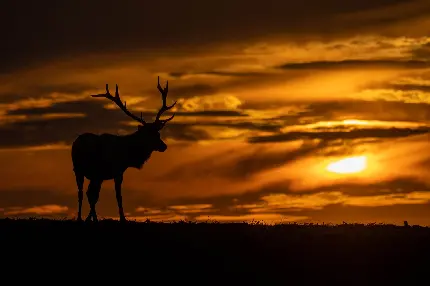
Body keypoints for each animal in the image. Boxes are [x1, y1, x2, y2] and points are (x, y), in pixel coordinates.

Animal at [71, 77, 176, 222]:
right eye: (149, 135)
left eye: (158, 133)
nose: (164, 146)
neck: (127, 155)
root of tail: (77, 144)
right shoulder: (117, 171)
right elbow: (118, 195)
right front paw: (122, 218)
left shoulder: (105, 174)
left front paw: (92, 218)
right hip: (88, 171)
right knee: (87, 193)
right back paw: (86, 218)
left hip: (84, 171)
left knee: (85, 193)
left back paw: (84, 218)